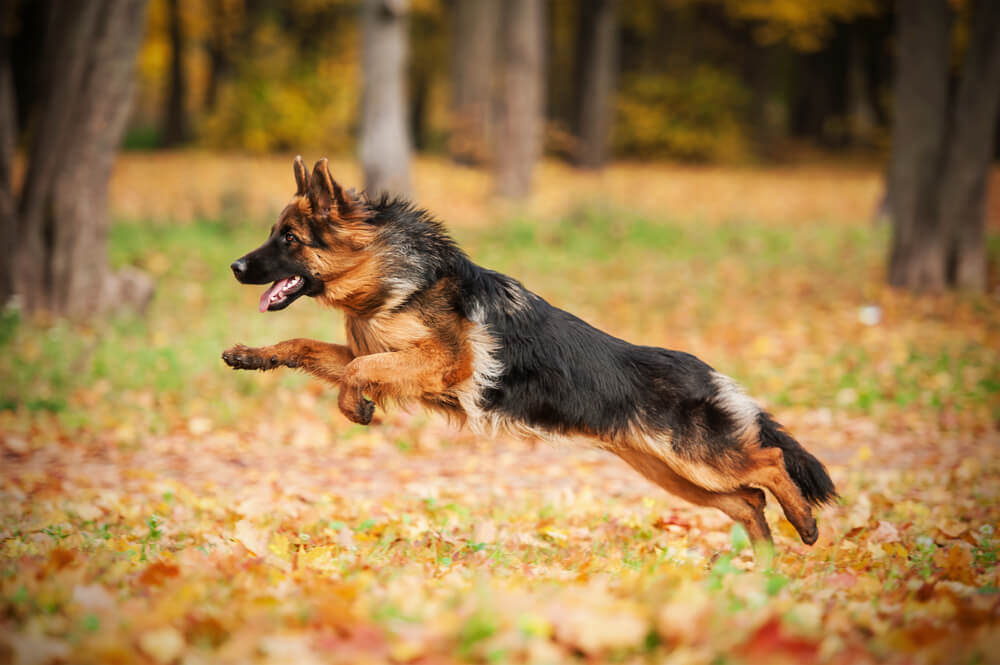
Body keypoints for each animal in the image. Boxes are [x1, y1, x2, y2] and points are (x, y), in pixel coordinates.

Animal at [225, 156, 836, 548]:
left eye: (289, 239)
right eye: (273, 233)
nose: (234, 266)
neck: (390, 278)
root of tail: (708, 374)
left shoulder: (444, 363)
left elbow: (360, 367)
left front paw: (355, 405)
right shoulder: (382, 353)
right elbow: (312, 348)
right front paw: (253, 355)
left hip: (695, 459)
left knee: (770, 462)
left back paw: (804, 525)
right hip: (675, 474)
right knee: (749, 501)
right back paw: (763, 564)